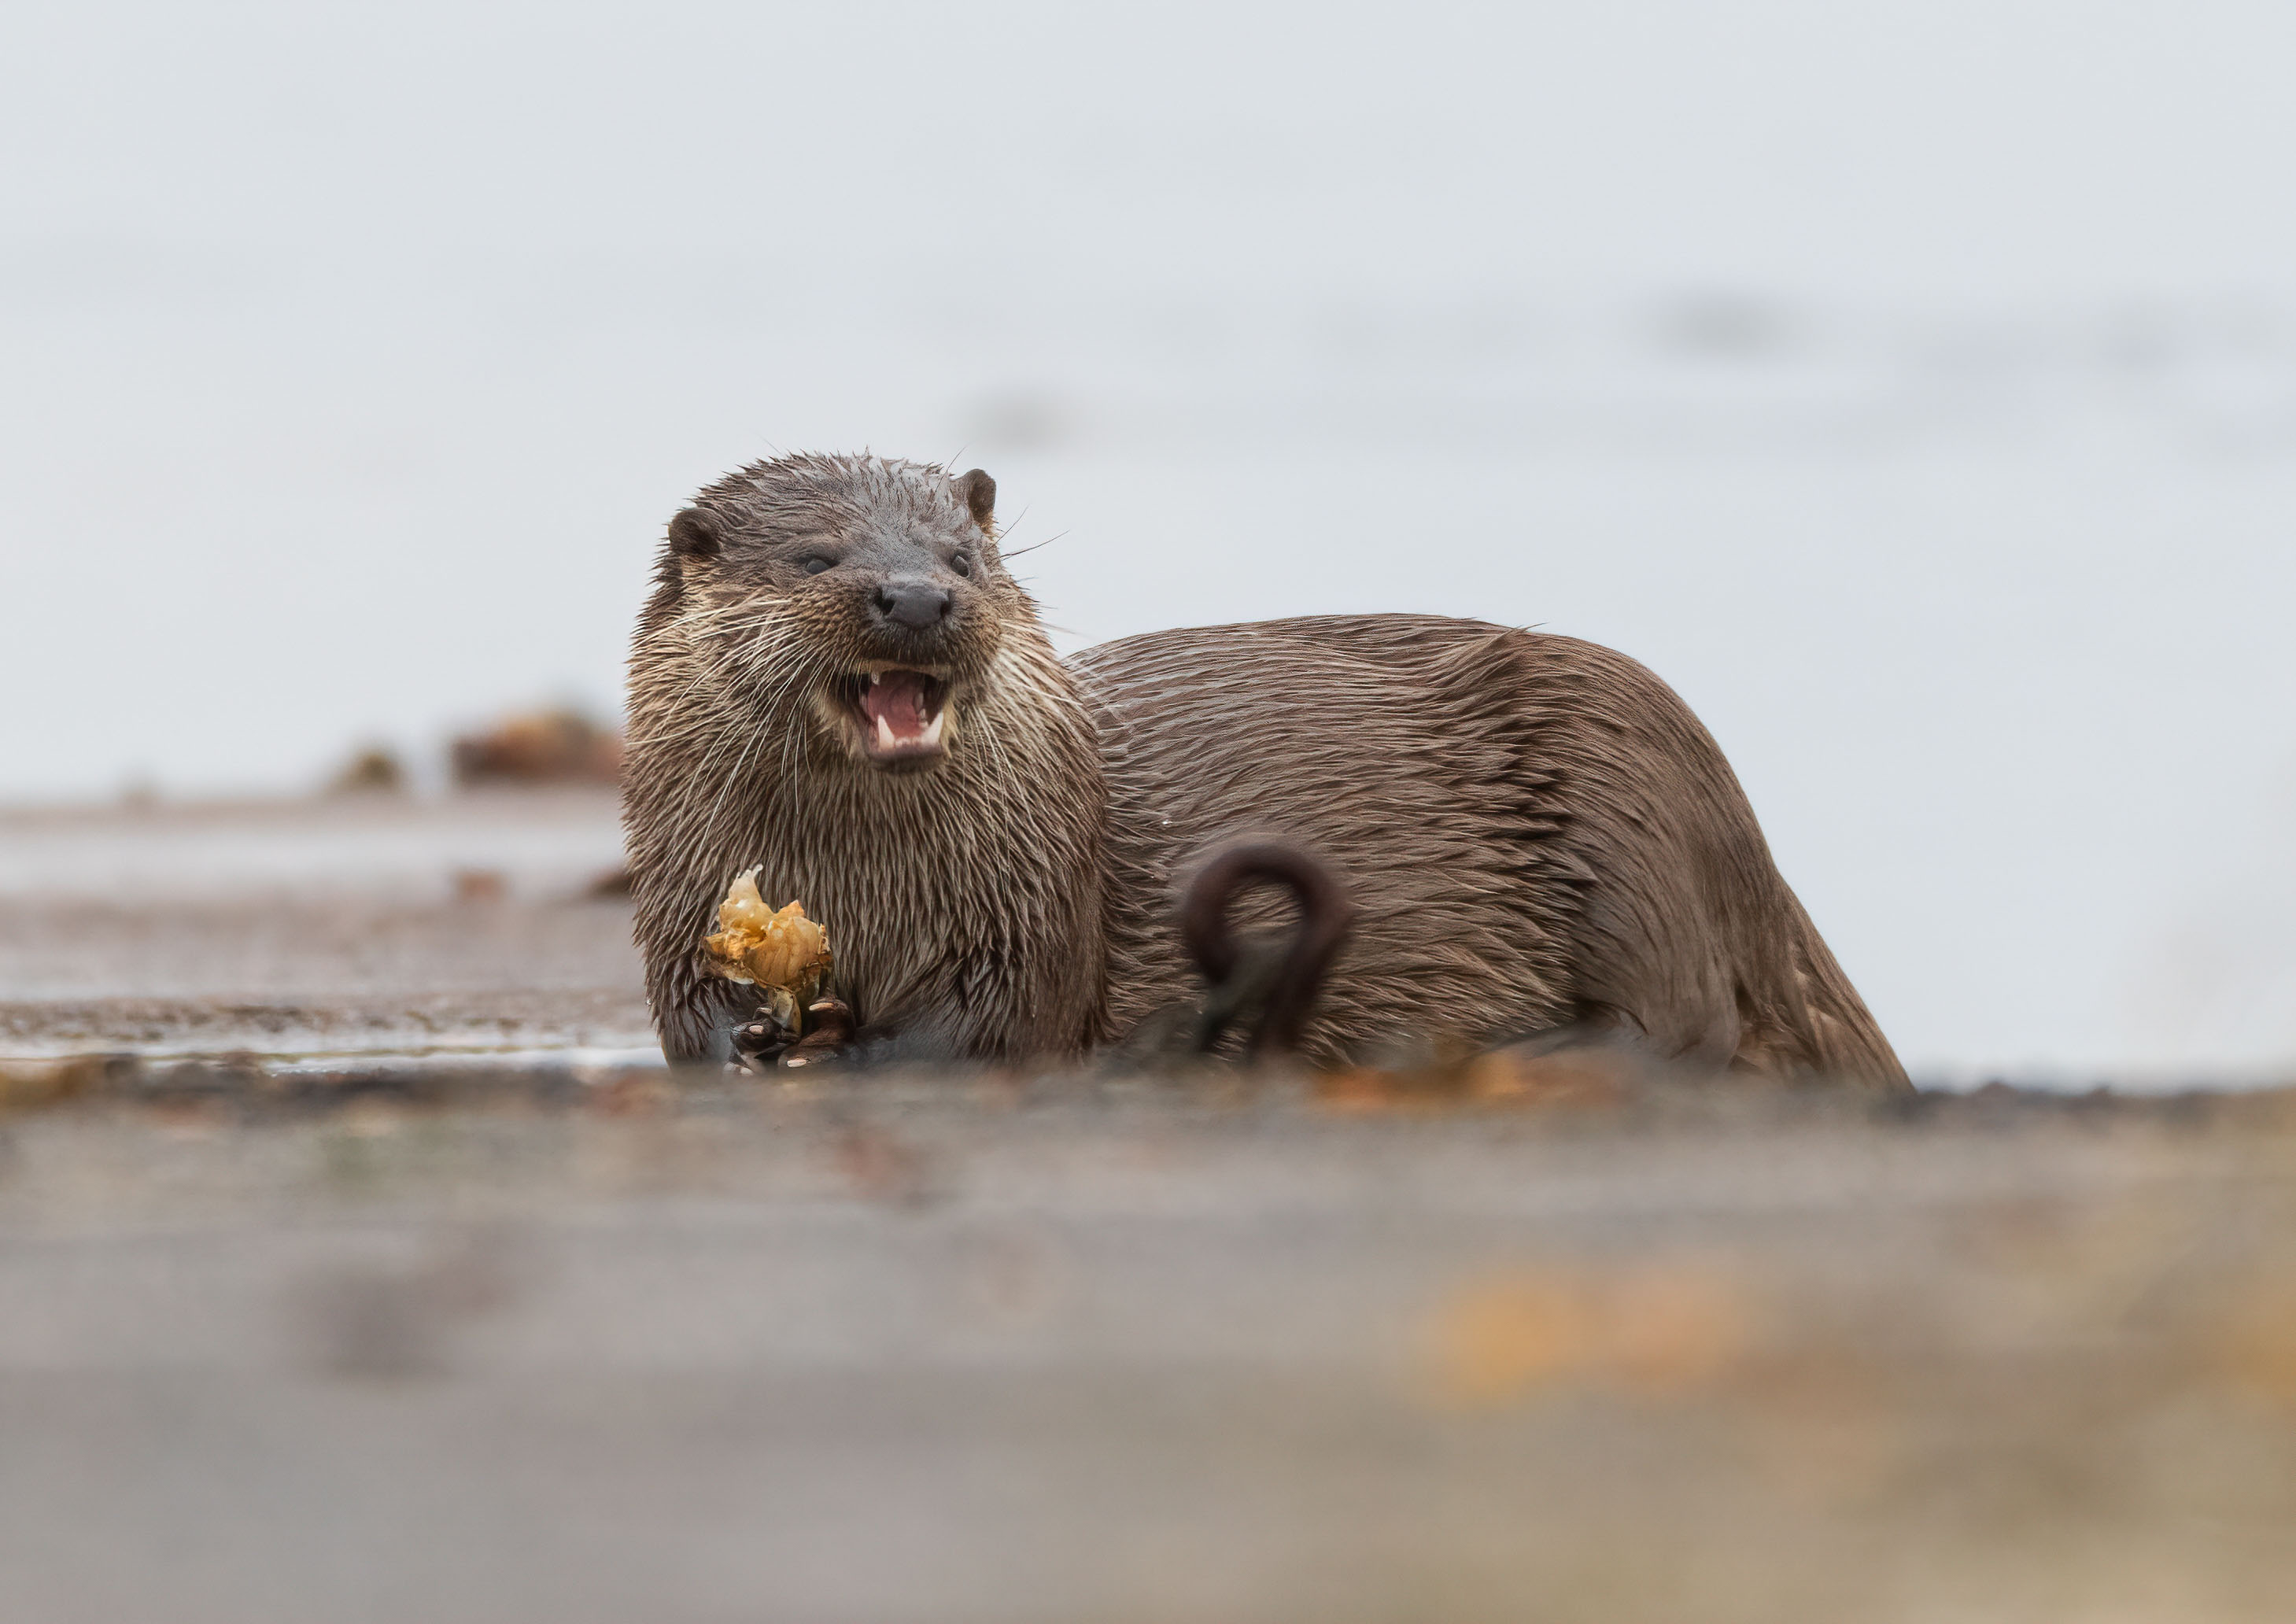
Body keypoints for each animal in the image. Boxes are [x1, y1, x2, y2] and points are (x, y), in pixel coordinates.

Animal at [623, 453, 1907, 1091]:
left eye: (963, 555)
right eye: (817, 556)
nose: (918, 597)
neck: (864, 887)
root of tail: (1761, 875)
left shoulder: (1032, 904)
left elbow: (990, 1030)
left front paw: (848, 1047)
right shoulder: (676, 892)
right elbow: (685, 1020)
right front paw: (750, 1039)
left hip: (1621, 769)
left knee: (1681, 1023)